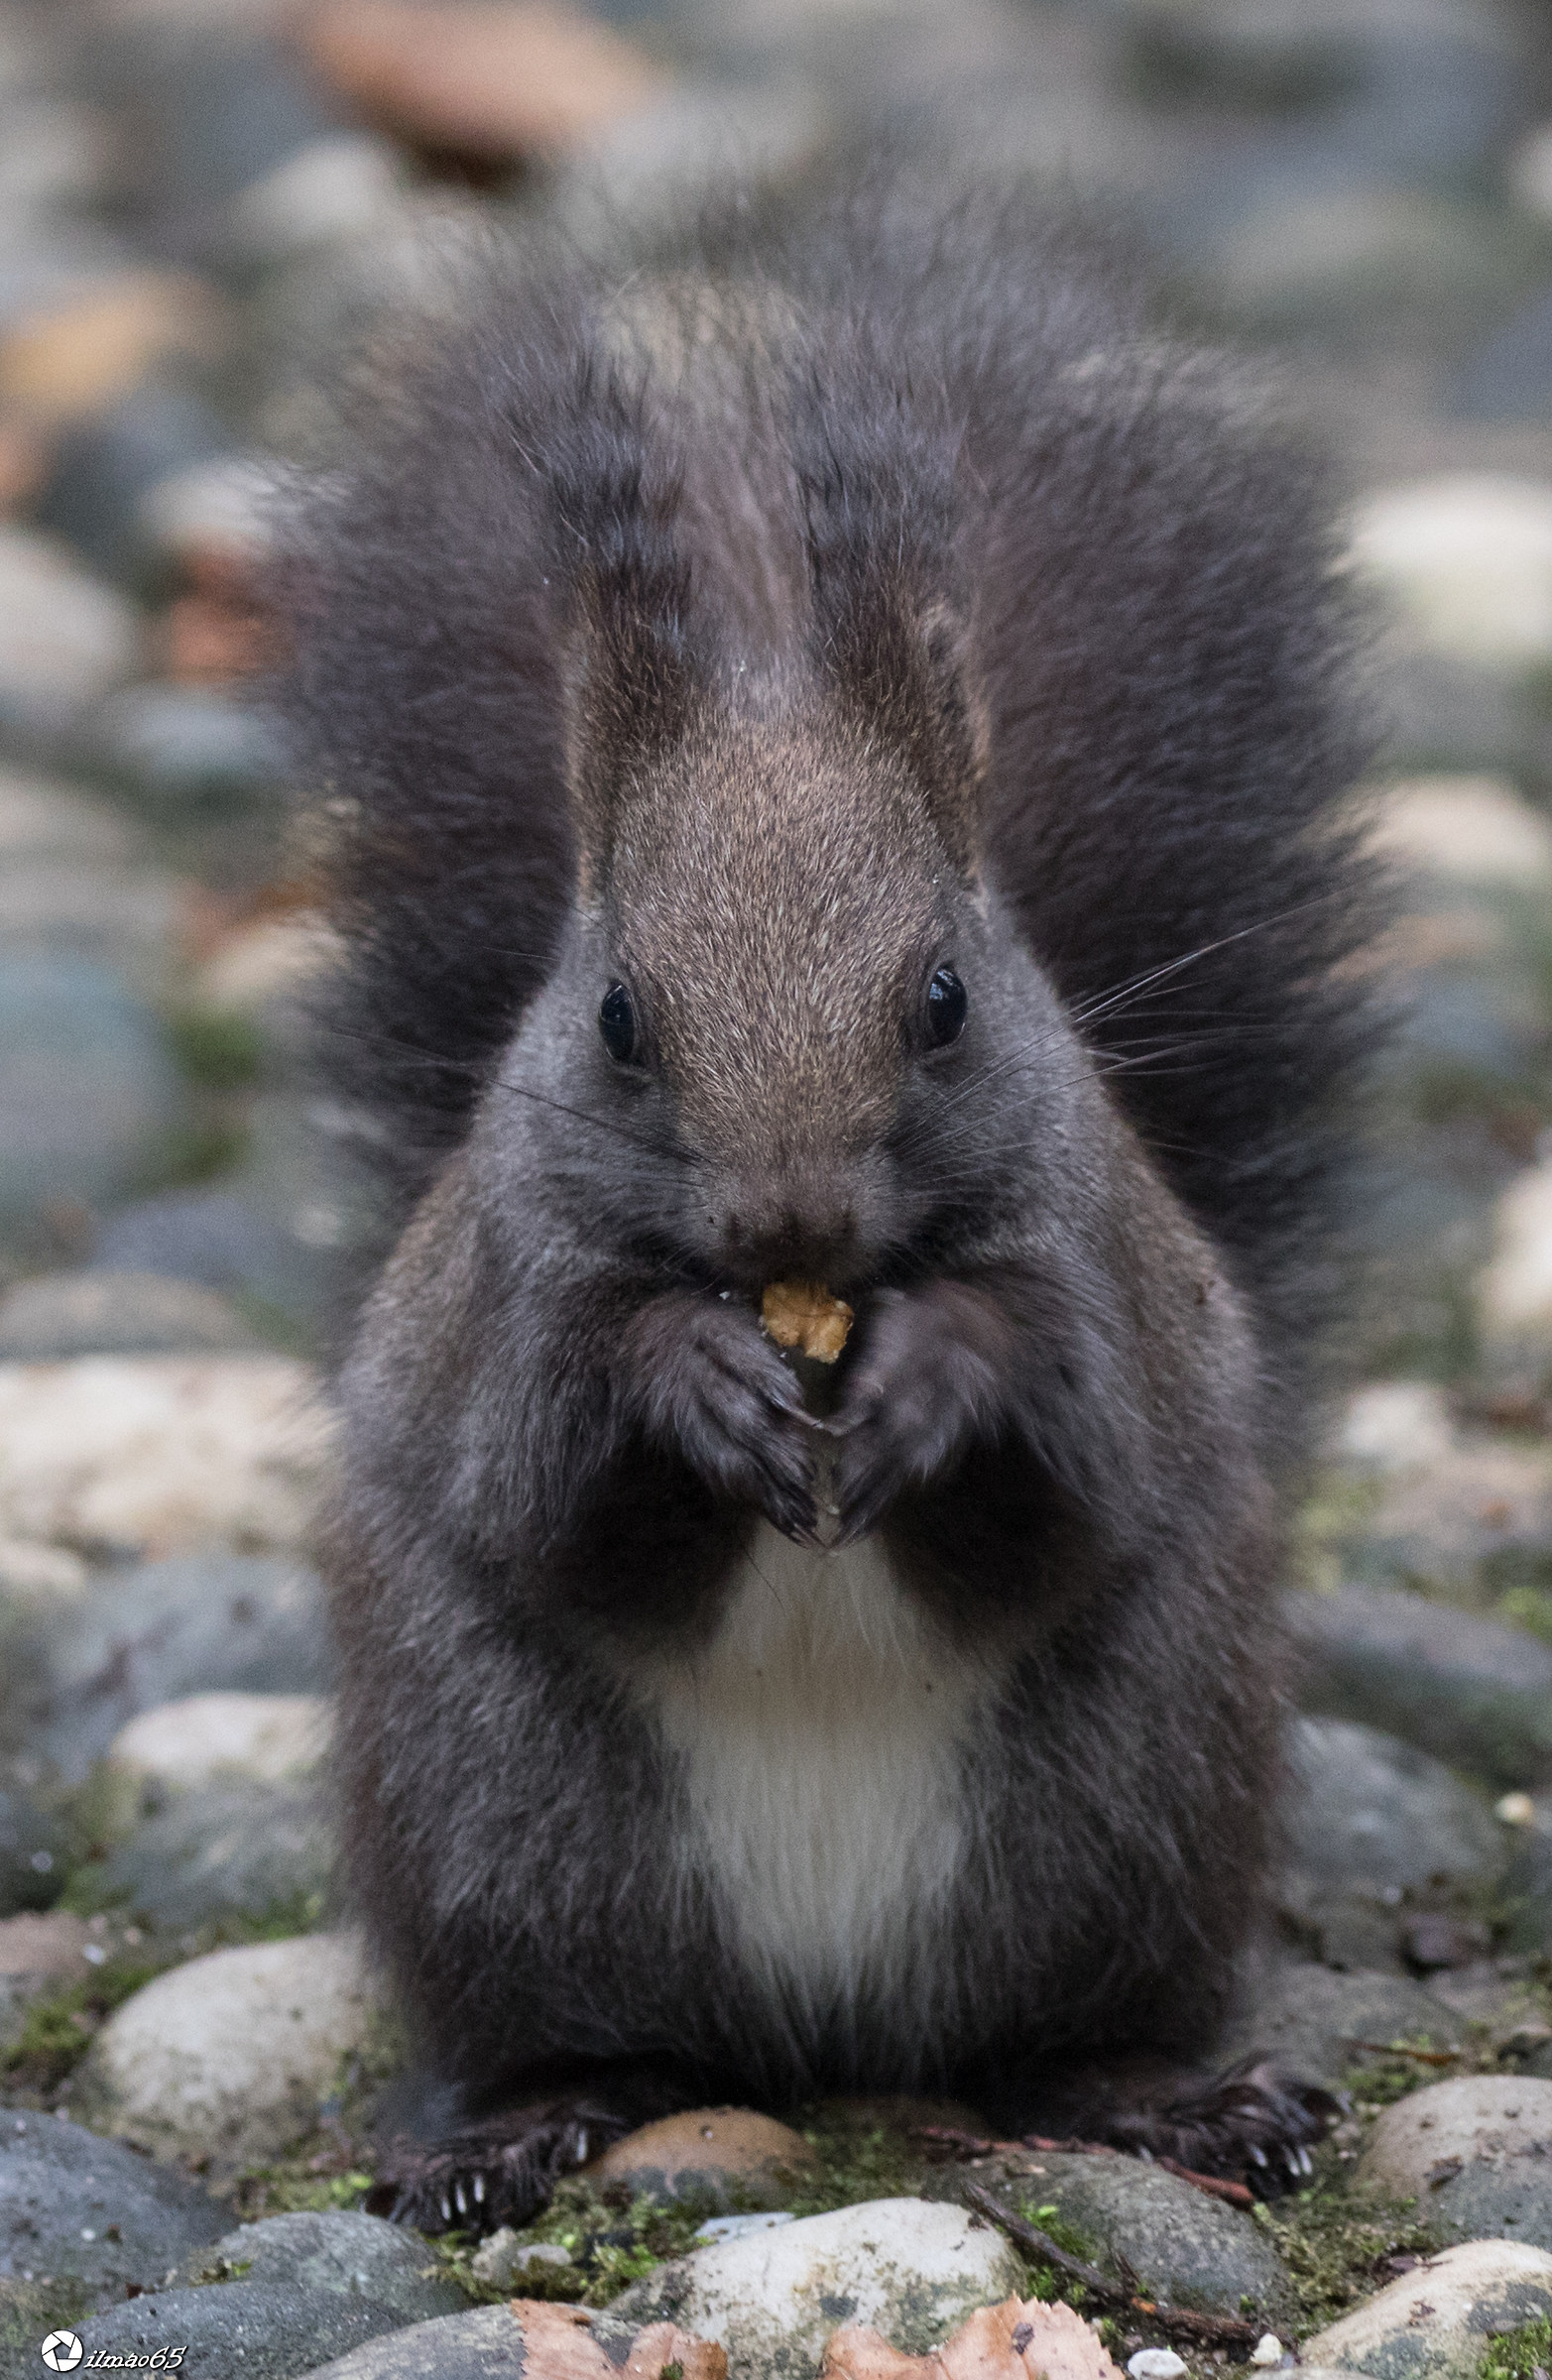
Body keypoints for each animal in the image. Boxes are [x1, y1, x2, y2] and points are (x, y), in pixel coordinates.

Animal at [274, 165, 1382, 2236]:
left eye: (943, 997)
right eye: (620, 1016)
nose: (790, 1230)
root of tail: (825, 2038)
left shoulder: (1104, 1265)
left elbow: (1079, 1456)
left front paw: (946, 1368)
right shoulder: (502, 1300)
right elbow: (543, 1476)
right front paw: (685, 1379)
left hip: (1137, 1793)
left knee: (1056, 2037)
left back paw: (1179, 2101)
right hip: (494, 1815)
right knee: (586, 2026)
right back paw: (515, 2125)